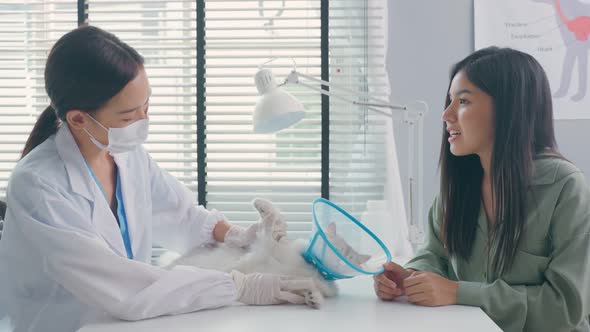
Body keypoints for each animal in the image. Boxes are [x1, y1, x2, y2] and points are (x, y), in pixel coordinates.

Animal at [164, 197, 372, 308]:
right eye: (338, 248)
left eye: (348, 256)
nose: (340, 258)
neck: (308, 265)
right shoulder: (268, 241)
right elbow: (274, 220)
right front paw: (261, 206)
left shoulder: (293, 281)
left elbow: (306, 288)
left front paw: (313, 299)